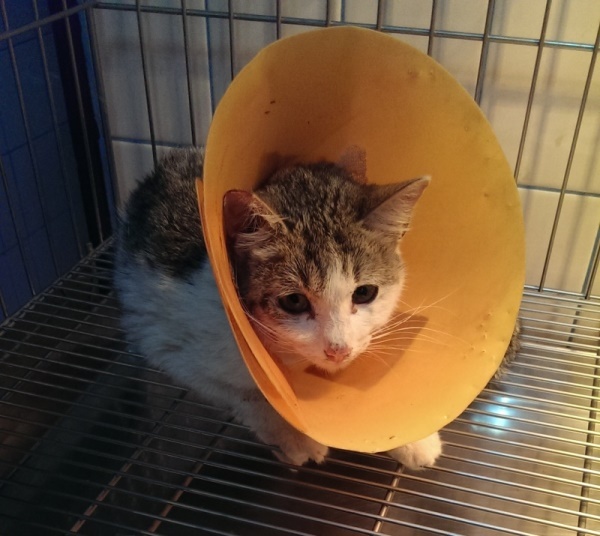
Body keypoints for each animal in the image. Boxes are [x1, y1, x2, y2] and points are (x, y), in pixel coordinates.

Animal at [115, 146, 443, 469]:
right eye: (294, 301)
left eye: (364, 293)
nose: (338, 350)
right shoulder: (164, 340)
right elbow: (247, 394)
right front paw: (293, 435)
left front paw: (415, 438)